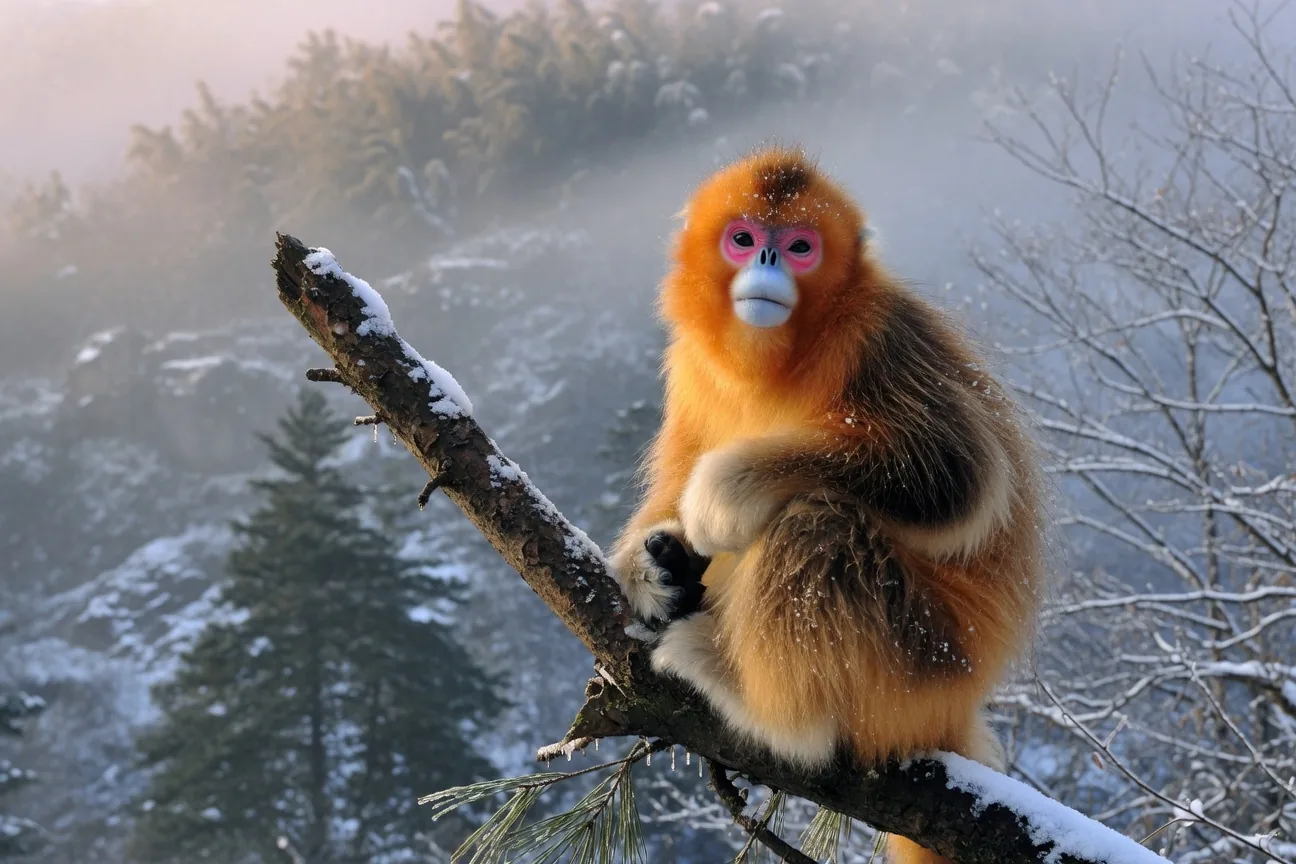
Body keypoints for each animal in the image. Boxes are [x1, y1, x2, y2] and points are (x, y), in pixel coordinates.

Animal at [607, 145, 1044, 864]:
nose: (767, 260)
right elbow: (670, 489)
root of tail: (957, 702)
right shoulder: (690, 367)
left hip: (921, 658)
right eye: (743, 238)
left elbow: (954, 478)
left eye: (801, 247)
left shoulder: (882, 337)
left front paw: (724, 492)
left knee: (819, 521)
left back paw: (771, 714)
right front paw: (650, 570)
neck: (777, 358)